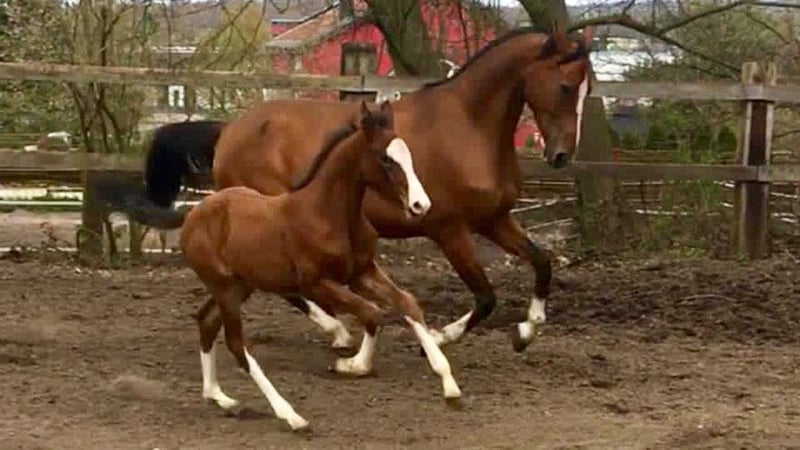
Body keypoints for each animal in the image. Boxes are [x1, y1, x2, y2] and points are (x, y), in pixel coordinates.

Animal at [133, 23, 594, 355]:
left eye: (588, 88)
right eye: (566, 86)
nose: (560, 155)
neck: (469, 125)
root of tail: (229, 130)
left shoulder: (494, 220)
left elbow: (543, 263)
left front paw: (527, 330)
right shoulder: (449, 229)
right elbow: (484, 297)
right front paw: (440, 337)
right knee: (294, 291)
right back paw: (337, 331)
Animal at [180, 101, 460, 431]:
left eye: (409, 156)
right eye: (385, 159)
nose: (421, 205)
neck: (329, 214)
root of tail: (194, 215)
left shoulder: (361, 272)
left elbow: (407, 303)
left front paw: (449, 384)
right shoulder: (317, 283)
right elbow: (371, 313)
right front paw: (352, 364)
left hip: (239, 286)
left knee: (206, 321)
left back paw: (219, 397)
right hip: (225, 288)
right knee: (236, 344)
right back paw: (290, 415)